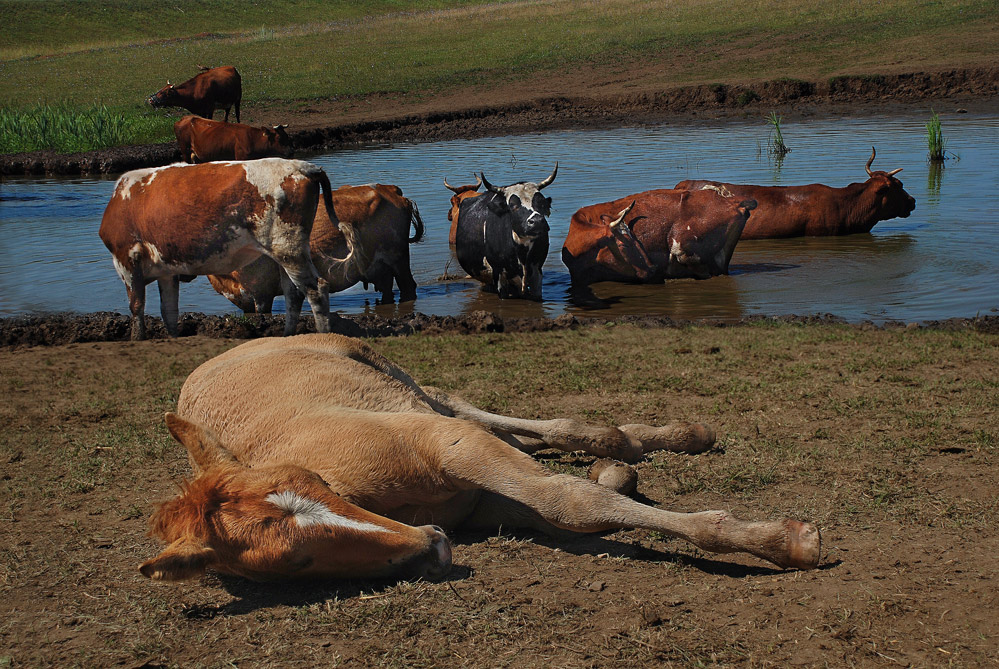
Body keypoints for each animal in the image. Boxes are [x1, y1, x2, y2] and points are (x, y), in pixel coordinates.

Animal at [99, 158, 340, 340]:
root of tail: (303, 166)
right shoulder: (166, 270)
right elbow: (169, 310)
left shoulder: (126, 259)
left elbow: (136, 306)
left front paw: (137, 338)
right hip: (287, 252)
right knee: (293, 294)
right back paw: (287, 335)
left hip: (289, 248)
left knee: (315, 289)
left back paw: (323, 334)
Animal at [139, 332, 820, 580]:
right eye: (296, 561)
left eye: (317, 485)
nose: (433, 545)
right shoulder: (482, 502)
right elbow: (574, 511)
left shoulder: (449, 447)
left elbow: (566, 496)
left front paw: (781, 540)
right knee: (536, 439)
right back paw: (629, 454)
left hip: (402, 380)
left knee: (491, 415)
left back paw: (663, 437)